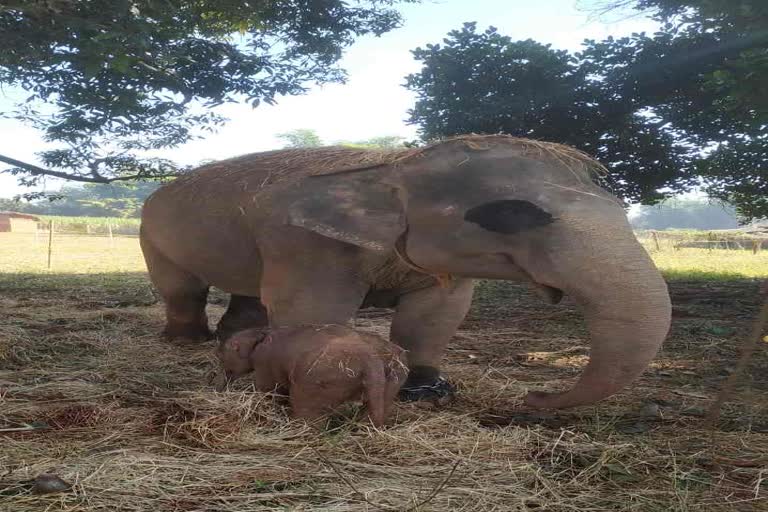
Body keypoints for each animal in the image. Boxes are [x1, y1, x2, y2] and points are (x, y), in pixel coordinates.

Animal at [141, 136, 668, 408]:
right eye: (510, 213)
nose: (534, 398)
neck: (391, 166)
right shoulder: (302, 242)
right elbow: (311, 309)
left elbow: (436, 316)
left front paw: (430, 389)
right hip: (152, 234)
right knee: (183, 290)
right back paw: (186, 341)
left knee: (246, 294)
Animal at [216, 326, 408, 426]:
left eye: (223, 355)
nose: (219, 389)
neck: (261, 334)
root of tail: (370, 359)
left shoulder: (264, 363)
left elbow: (270, 389)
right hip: (394, 377)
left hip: (317, 379)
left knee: (305, 408)